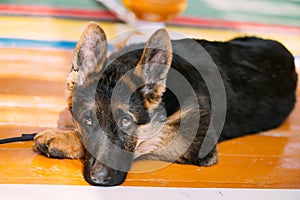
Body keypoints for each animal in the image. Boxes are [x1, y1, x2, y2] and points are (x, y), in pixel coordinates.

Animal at [33, 21, 298, 186]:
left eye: (126, 122)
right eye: (88, 120)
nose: (98, 179)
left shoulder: (196, 145)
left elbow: (150, 140)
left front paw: (63, 138)